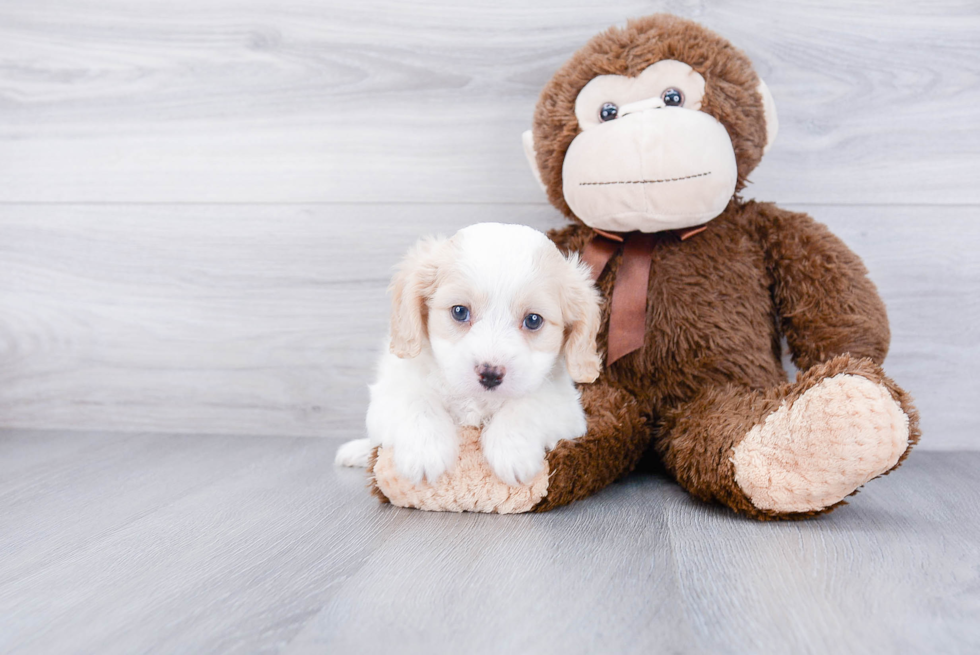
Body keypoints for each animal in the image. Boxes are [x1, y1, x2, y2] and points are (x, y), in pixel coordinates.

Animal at [334, 224, 600, 486]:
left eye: (533, 320)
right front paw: (425, 452)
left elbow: (530, 403)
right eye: (459, 311)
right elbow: (416, 401)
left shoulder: (567, 409)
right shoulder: (391, 391)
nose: (490, 374)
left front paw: (512, 449)